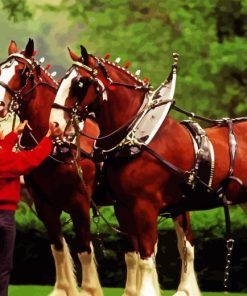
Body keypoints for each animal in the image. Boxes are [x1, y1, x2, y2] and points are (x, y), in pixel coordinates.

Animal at [0, 40, 103, 296]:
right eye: (1, 68)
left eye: (22, 72)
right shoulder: (44, 204)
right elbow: (57, 246)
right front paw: (64, 288)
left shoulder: (80, 202)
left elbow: (84, 248)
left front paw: (90, 289)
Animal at [48, 46, 216, 296]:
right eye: (61, 81)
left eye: (79, 83)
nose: (55, 125)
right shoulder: (123, 206)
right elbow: (136, 252)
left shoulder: (130, 205)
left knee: (185, 246)